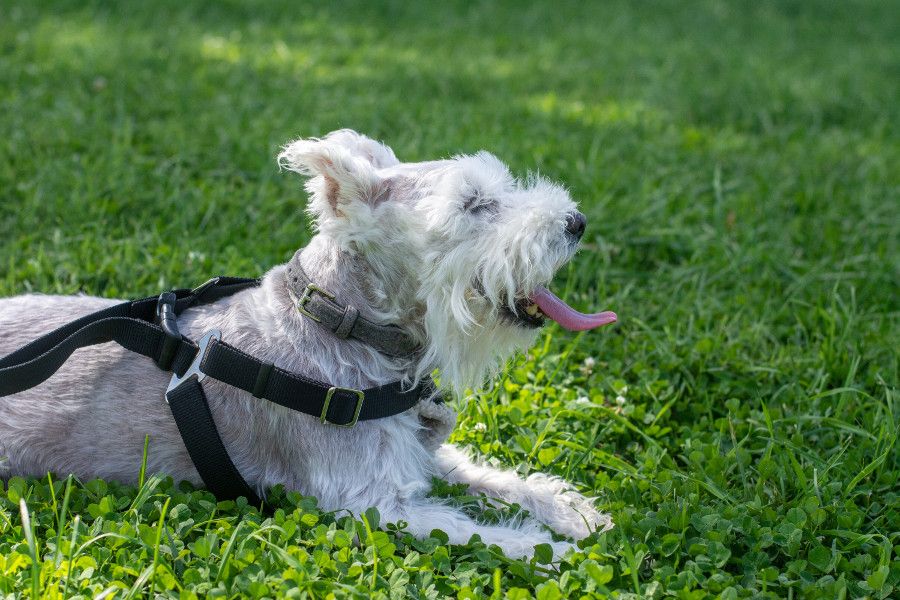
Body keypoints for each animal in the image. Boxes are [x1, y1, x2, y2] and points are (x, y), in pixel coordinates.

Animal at [0, 130, 620, 556]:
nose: (576, 222)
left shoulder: (410, 454)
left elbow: (489, 476)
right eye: (473, 204)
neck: (343, 323)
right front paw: (554, 552)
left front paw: (571, 512)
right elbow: (481, 533)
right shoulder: (373, 503)